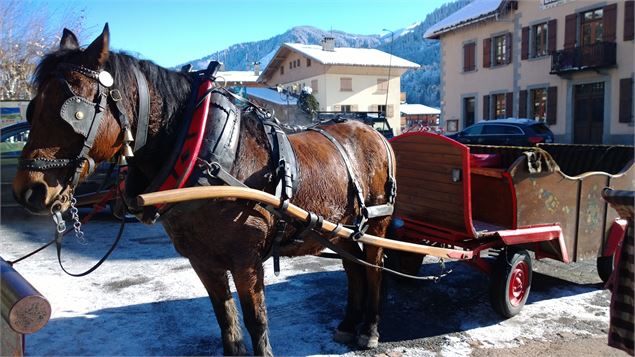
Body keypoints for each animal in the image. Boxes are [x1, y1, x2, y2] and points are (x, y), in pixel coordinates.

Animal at [12, 25, 396, 354]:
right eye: (32, 109)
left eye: (73, 112)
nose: (28, 190)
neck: (203, 153)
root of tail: (374, 132)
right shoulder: (203, 261)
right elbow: (226, 321)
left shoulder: (246, 261)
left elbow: (256, 322)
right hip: (344, 230)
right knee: (352, 269)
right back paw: (348, 324)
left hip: (376, 224)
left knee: (373, 270)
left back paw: (370, 330)